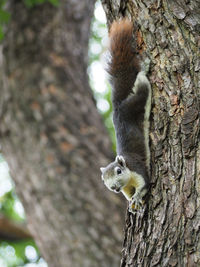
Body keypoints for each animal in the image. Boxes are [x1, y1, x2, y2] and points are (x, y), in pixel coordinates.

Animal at [101, 19, 151, 214]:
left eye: (119, 171)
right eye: (104, 181)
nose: (115, 188)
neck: (128, 181)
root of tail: (117, 108)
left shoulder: (137, 168)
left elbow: (144, 184)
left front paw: (137, 197)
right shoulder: (126, 189)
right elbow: (129, 195)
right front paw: (132, 203)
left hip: (135, 102)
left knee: (142, 85)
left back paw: (145, 68)